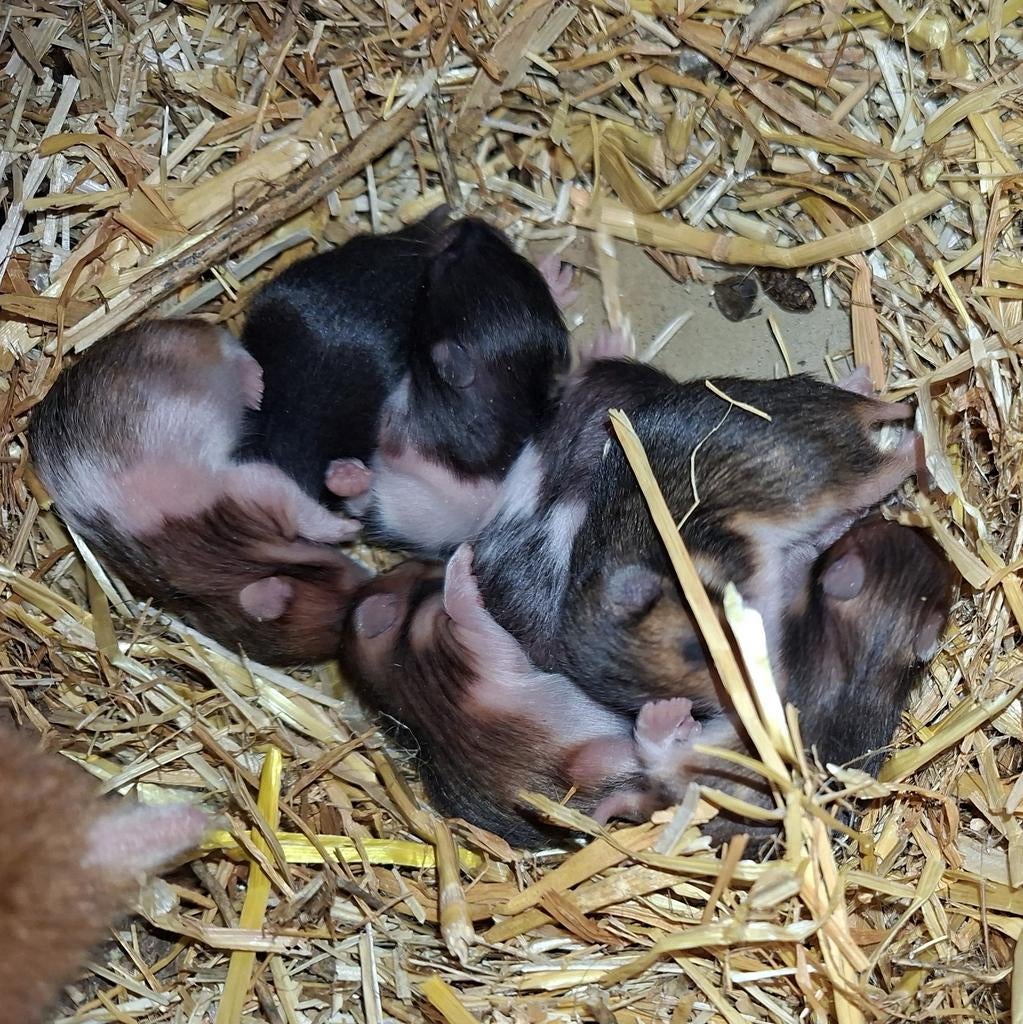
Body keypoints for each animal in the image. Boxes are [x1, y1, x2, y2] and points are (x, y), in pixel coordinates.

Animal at [31, 319, 370, 665]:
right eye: (341, 619)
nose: (371, 581)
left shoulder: (252, 491)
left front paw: (350, 526)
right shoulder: (259, 489)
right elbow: (306, 513)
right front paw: (349, 528)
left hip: (190, 342)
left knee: (228, 344)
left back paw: (255, 389)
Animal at [339, 545, 640, 849]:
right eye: (396, 570)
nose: (426, 559)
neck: (397, 669)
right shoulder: (467, 639)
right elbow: (463, 606)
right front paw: (462, 559)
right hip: (596, 758)